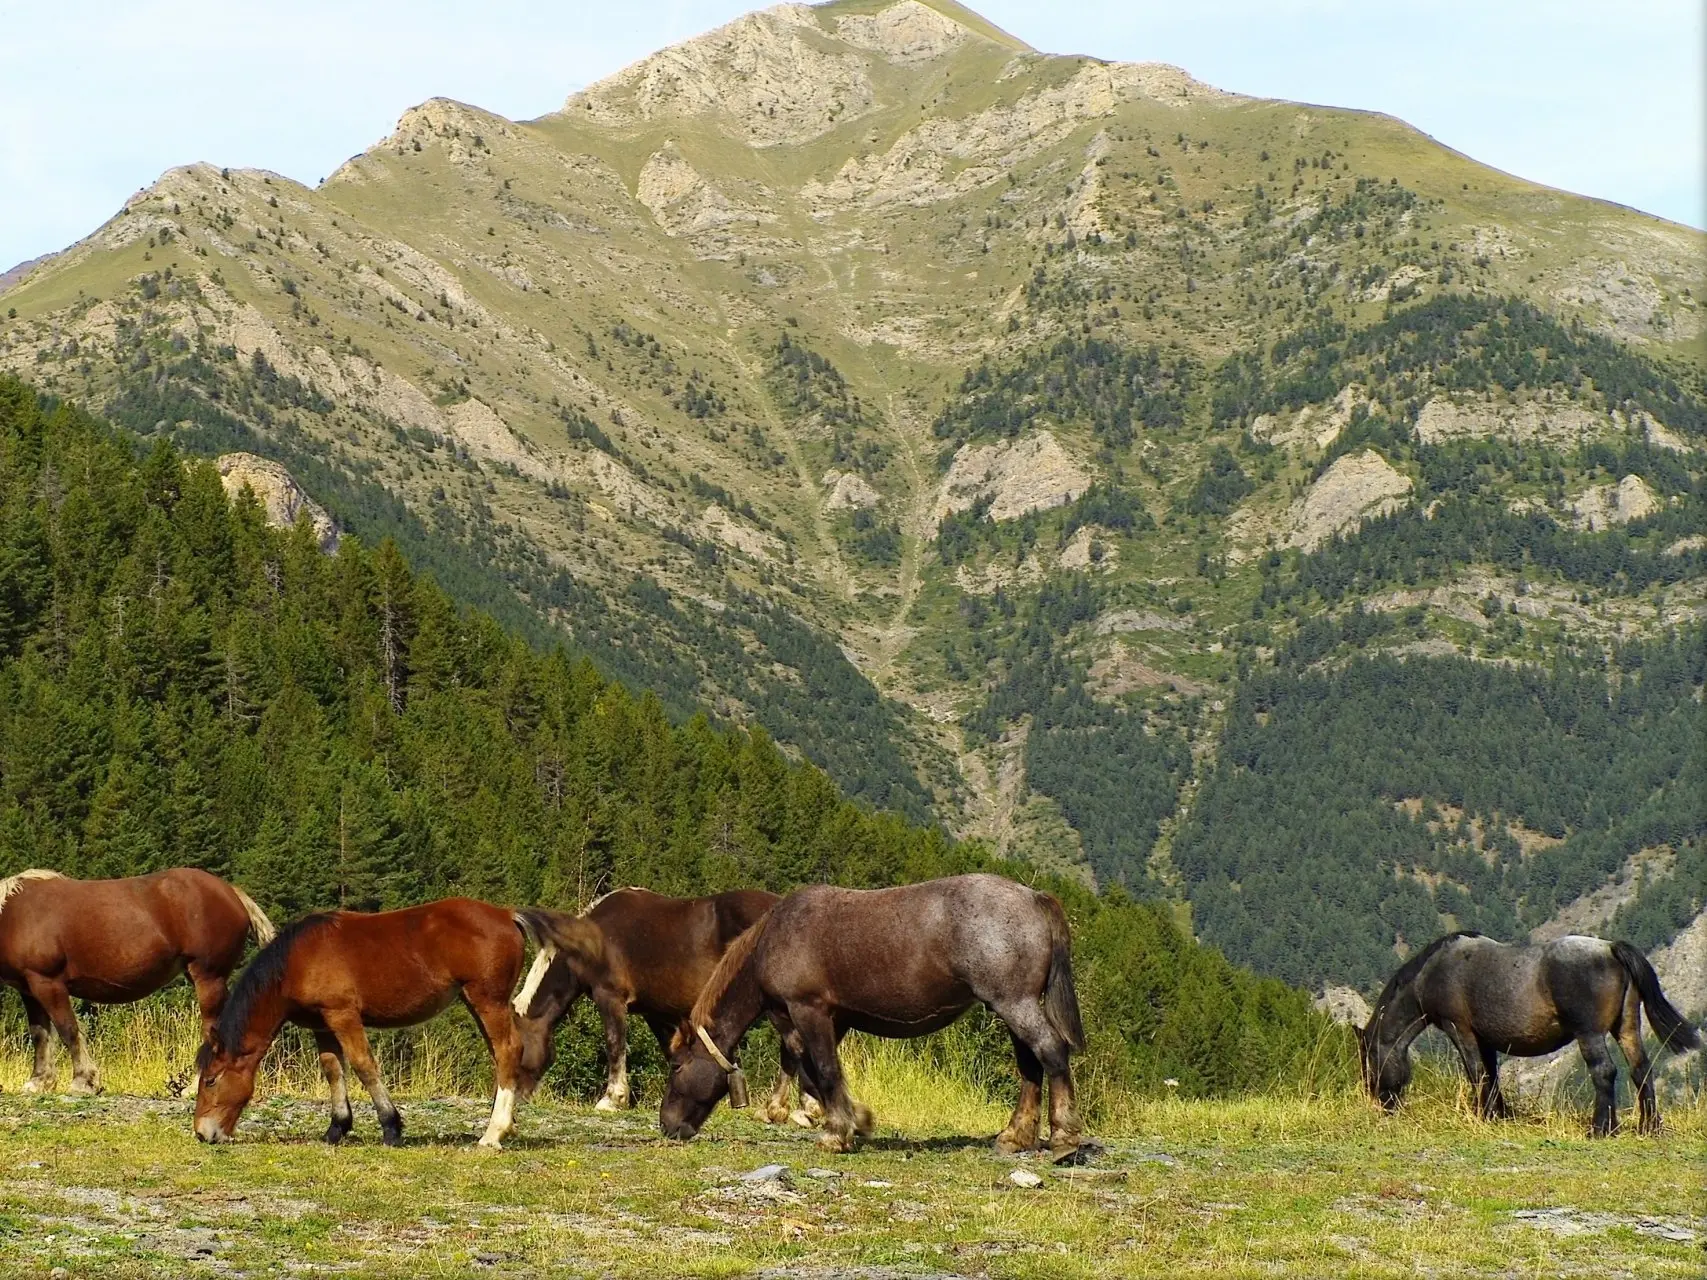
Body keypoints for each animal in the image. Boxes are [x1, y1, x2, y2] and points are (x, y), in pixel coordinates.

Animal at [0, 866, 271, 1099]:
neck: (13, 914)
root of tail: (230, 892)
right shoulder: (30, 989)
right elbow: (40, 1034)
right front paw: (39, 1081)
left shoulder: (49, 983)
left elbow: (69, 1030)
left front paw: (84, 1081)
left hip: (208, 977)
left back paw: (195, 1087)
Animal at [187, 901, 597, 1153]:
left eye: (211, 1080)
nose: (203, 1133)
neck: (297, 961)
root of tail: (506, 913)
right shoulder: (322, 1024)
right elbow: (334, 1071)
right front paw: (337, 1128)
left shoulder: (343, 1016)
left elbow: (364, 1066)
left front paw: (391, 1127)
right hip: (477, 1002)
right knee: (503, 1055)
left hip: (487, 1000)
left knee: (508, 1051)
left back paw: (493, 1133)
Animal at [508, 894, 815, 1119]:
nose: (516, 1097)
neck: (592, 942)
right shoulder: (654, 1011)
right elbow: (672, 1050)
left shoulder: (611, 998)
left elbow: (615, 1044)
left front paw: (613, 1099)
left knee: (794, 1045)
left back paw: (787, 1109)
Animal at [658, 880, 1085, 1160]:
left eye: (676, 1066)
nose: (667, 1125)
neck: (775, 938)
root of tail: (1034, 898)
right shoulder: (830, 1020)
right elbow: (814, 1071)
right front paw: (855, 1120)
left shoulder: (808, 1010)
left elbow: (825, 1071)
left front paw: (837, 1133)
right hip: (1009, 1006)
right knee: (1030, 1064)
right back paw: (1016, 1135)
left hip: (1015, 1003)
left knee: (1050, 1051)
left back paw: (1064, 1136)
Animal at [1351, 935, 1700, 1140]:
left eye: (1370, 1062)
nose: (1383, 1104)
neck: (1435, 970)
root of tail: (1609, 948)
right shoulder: (1486, 1039)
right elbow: (1491, 1075)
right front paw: (1497, 1114)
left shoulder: (1459, 1029)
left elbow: (1476, 1073)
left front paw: (1483, 1115)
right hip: (1626, 1027)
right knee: (1641, 1070)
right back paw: (1649, 1127)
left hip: (1590, 1034)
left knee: (1604, 1071)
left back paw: (1601, 1128)